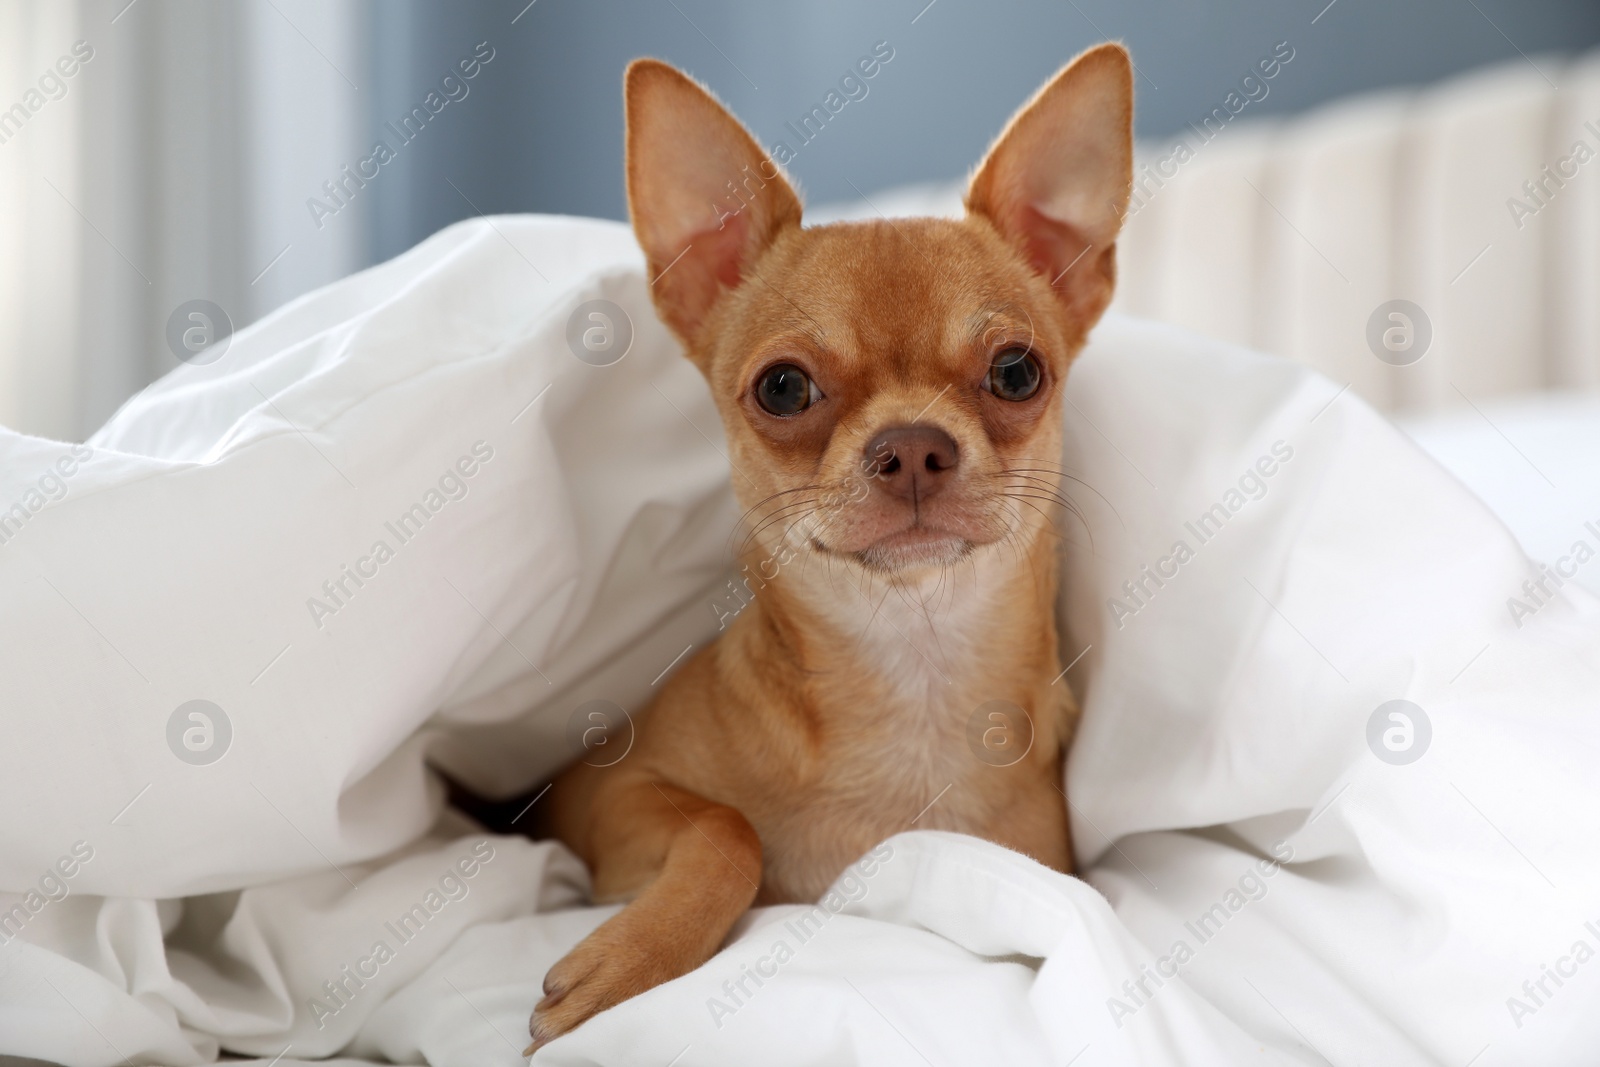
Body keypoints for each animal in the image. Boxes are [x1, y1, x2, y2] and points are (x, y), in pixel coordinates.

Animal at [531, 43, 1132, 1049]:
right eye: (782, 387)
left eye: (1017, 372)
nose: (914, 445)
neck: (912, 679)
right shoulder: (600, 789)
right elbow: (728, 828)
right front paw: (629, 961)